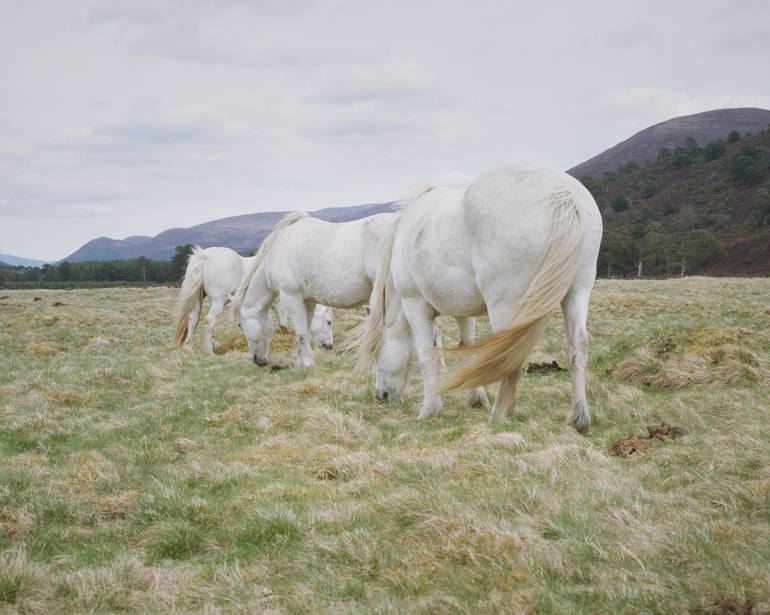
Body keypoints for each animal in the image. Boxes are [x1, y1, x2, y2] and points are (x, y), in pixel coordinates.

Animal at [172, 244, 332, 354]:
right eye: (329, 322)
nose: (329, 346)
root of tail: (204, 256)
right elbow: (279, 312)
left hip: (198, 300)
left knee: (193, 320)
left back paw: (189, 347)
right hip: (218, 301)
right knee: (209, 320)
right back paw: (210, 351)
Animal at [236, 213, 400, 366]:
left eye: (240, 326)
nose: (259, 361)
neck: (278, 250)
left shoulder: (291, 297)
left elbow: (301, 332)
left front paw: (307, 363)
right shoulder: (308, 301)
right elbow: (306, 330)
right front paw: (301, 363)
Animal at [356, 164, 604, 434]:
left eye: (376, 354)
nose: (381, 395)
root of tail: (560, 192)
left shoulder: (415, 306)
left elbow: (426, 354)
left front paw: (430, 409)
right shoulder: (463, 310)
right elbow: (467, 348)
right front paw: (476, 398)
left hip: (506, 306)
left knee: (512, 355)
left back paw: (500, 414)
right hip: (577, 292)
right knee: (577, 347)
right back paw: (578, 418)